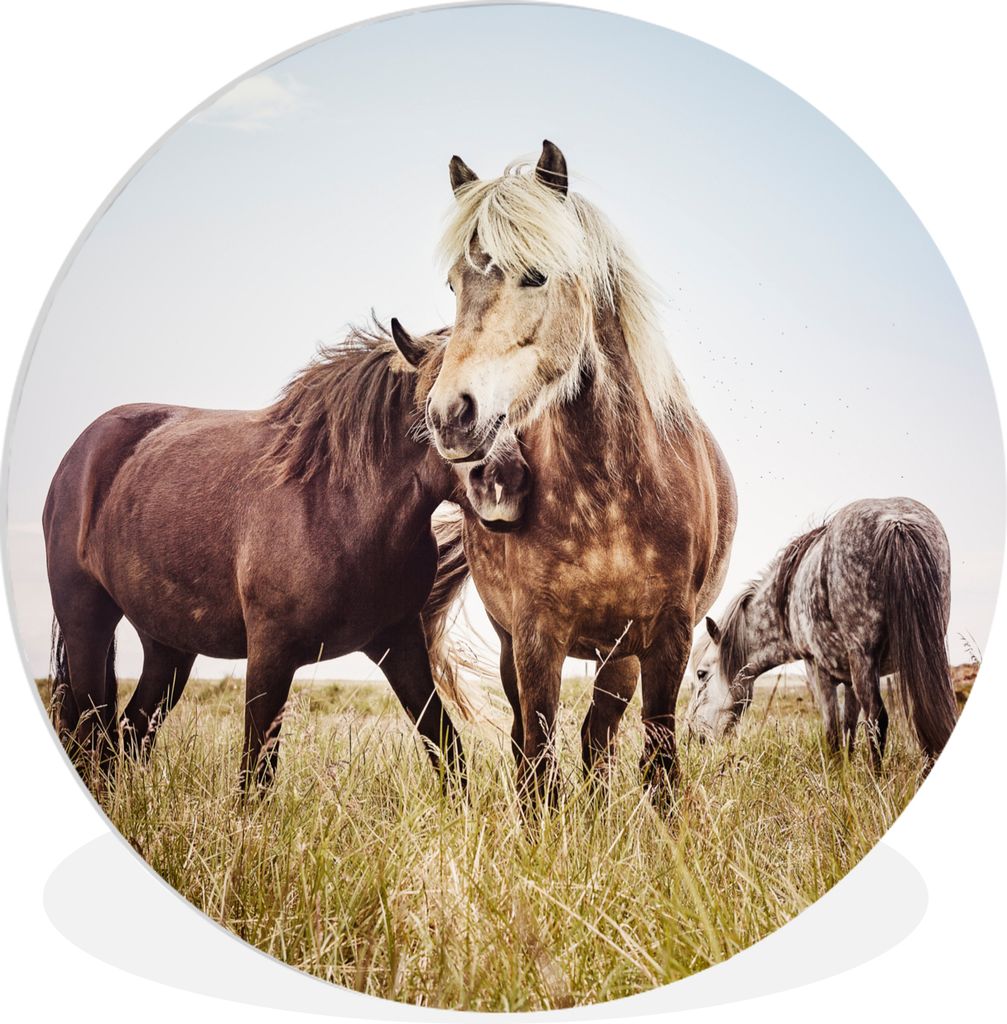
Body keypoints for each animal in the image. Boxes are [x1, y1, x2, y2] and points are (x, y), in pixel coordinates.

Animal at [43, 322, 529, 793]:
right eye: (441, 405)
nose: (507, 481)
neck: (338, 503)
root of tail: (79, 454)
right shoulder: (270, 654)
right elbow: (256, 773)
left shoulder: (399, 643)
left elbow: (446, 746)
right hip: (87, 625)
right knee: (90, 731)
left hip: (168, 647)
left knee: (127, 733)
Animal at [395, 141, 737, 810]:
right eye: (453, 283)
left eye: (536, 274)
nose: (450, 415)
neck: (610, 494)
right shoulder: (535, 638)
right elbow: (538, 759)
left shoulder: (668, 638)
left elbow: (660, 758)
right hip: (519, 647)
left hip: (619, 656)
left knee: (598, 739)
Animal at [683, 497, 959, 772]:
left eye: (701, 673)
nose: (694, 736)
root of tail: (895, 522)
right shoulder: (849, 679)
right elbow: (849, 728)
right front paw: (847, 770)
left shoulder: (817, 668)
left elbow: (833, 730)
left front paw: (836, 773)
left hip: (864, 658)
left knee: (877, 718)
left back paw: (876, 777)